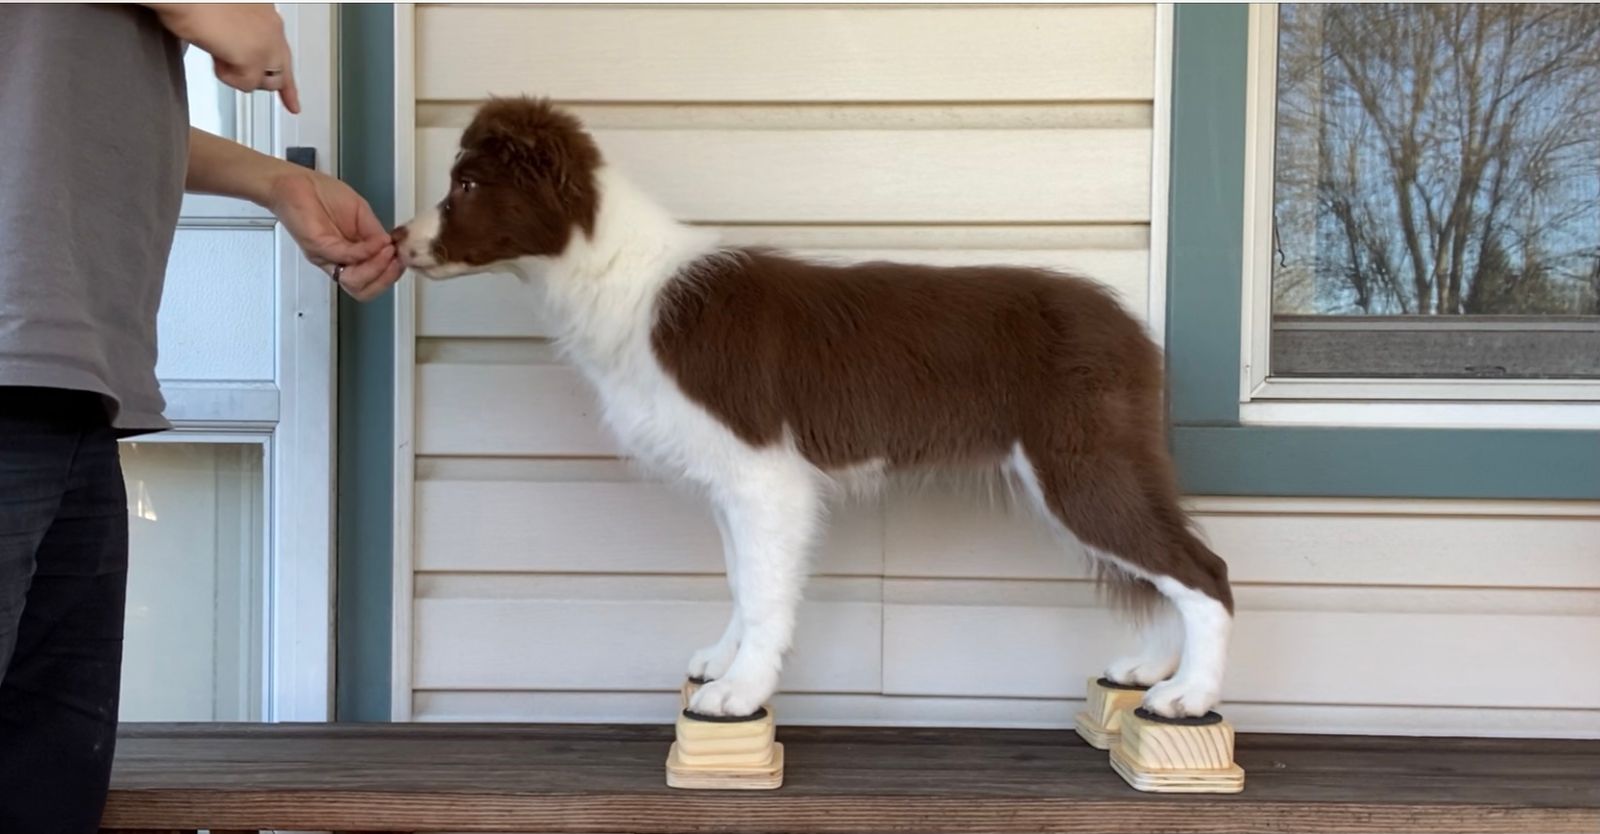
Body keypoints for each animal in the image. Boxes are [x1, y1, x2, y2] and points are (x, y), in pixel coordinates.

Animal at [394, 98, 1233, 720]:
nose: (400, 240)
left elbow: (766, 592)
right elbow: (742, 580)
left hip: (1079, 461)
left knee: (1203, 568)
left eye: (467, 186)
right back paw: (1153, 670)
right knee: (1171, 562)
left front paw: (739, 694)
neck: (615, 275)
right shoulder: (731, 478)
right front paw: (721, 664)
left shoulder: (766, 475)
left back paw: (1189, 696)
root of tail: (1130, 328)